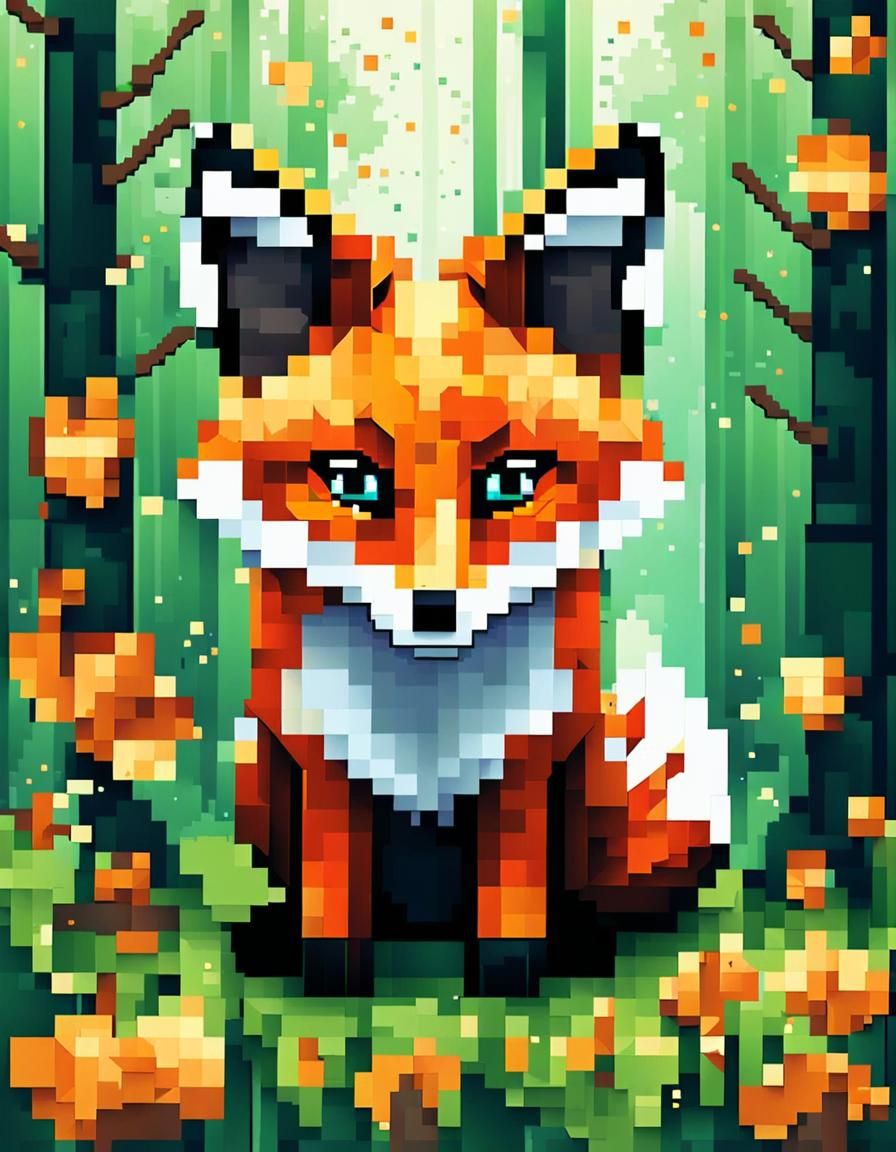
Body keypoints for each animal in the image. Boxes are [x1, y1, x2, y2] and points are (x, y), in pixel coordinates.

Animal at [177, 121, 729, 991]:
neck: (425, 716)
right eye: (351, 480)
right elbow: (332, 905)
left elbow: (511, 906)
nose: (435, 610)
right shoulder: (323, 758)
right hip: (257, 764)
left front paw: (510, 986)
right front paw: (330, 985)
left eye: (512, 481)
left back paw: (583, 945)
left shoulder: (526, 762)